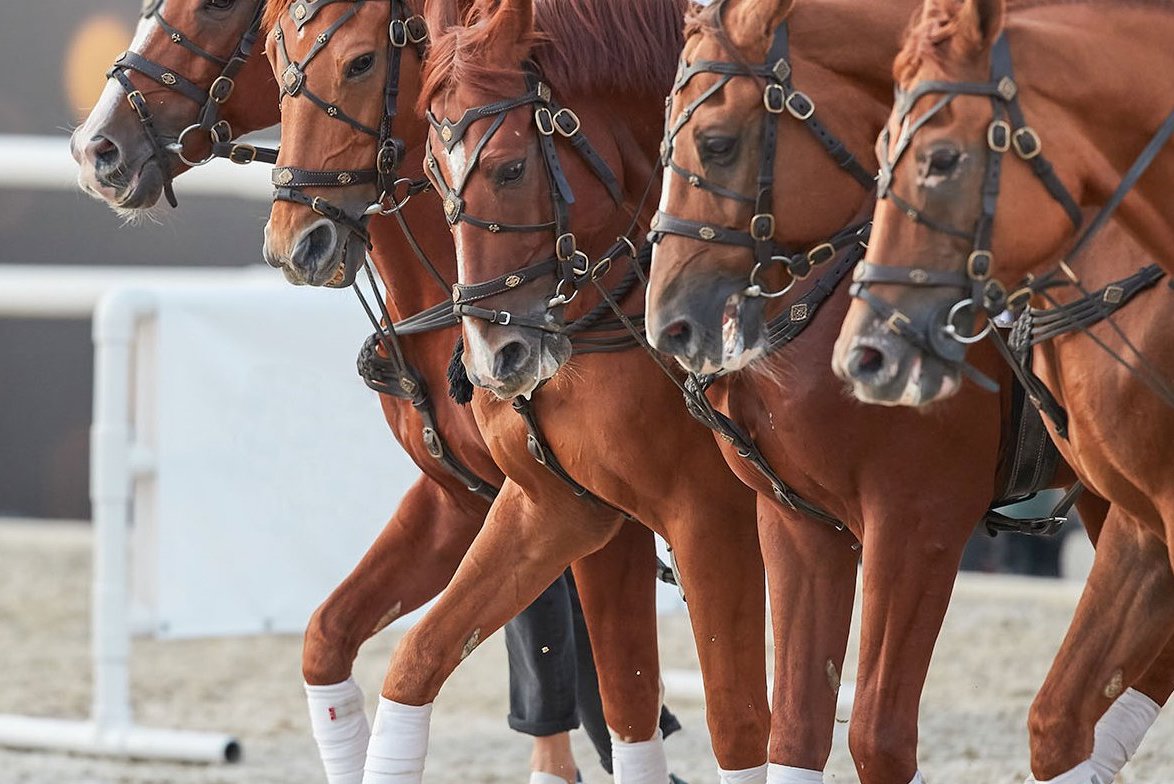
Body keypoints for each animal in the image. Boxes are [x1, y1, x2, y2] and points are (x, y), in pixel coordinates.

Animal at [258, 0, 770, 779]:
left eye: (359, 62)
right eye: (269, 58)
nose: (293, 241)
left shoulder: (710, 518)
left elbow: (734, 721)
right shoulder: (541, 503)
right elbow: (394, 651)